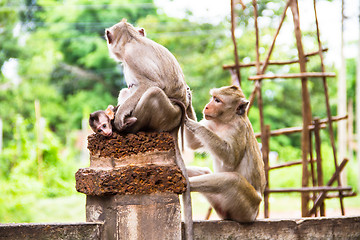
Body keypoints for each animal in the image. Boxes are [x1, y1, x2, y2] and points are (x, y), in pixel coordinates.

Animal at [184, 85, 266, 222]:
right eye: (213, 98)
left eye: (217, 100)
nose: (207, 106)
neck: (225, 121)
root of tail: (256, 214)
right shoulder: (211, 123)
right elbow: (193, 143)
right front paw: (188, 100)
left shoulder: (238, 129)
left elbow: (230, 158)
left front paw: (191, 122)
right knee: (206, 172)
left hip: (248, 208)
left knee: (232, 180)